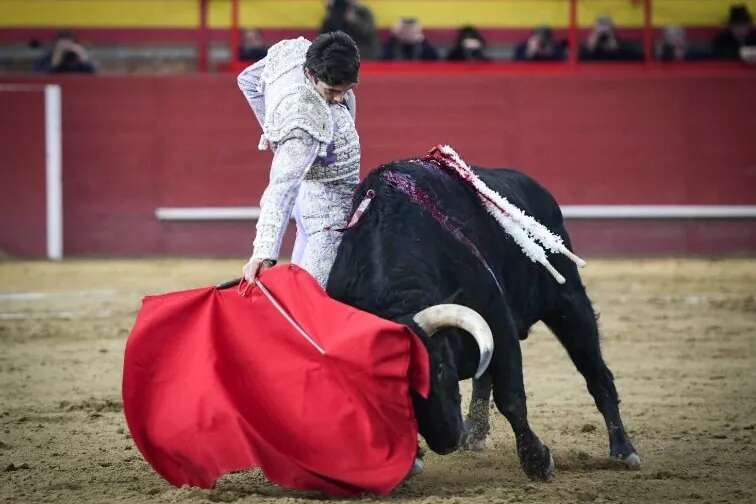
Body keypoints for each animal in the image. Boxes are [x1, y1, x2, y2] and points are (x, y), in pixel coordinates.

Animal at [328, 160, 640, 480]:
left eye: (439, 369)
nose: (447, 441)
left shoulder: (497, 319)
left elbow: (511, 398)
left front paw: (539, 462)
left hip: (569, 302)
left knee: (597, 374)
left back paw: (623, 451)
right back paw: (475, 433)